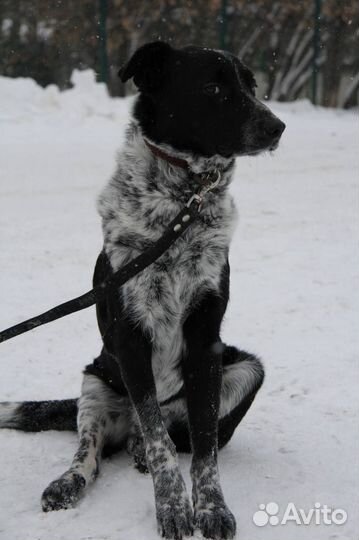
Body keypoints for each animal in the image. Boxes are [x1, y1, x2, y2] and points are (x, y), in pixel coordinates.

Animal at [0, 42, 286, 540]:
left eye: (251, 86)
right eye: (213, 88)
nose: (278, 127)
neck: (181, 201)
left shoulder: (206, 340)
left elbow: (204, 447)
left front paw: (211, 508)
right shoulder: (130, 335)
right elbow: (159, 444)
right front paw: (172, 508)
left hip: (246, 369)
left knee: (170, 434)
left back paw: (135, 452)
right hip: (95, 384)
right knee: (96, 451)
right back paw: (69, 481)